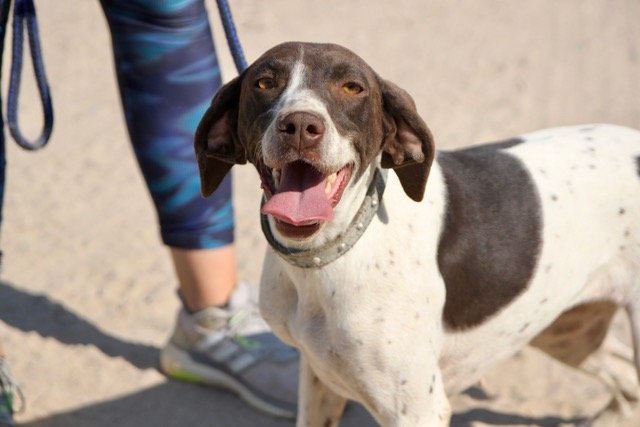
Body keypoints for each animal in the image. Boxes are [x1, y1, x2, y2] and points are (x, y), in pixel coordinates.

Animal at [194, 42, 640, 426]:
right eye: (264, 83)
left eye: (352, 87)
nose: (301, 125)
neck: (328, 256)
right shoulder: (318, 378)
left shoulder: (416, 409)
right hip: (567, 329)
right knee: (627, 380)